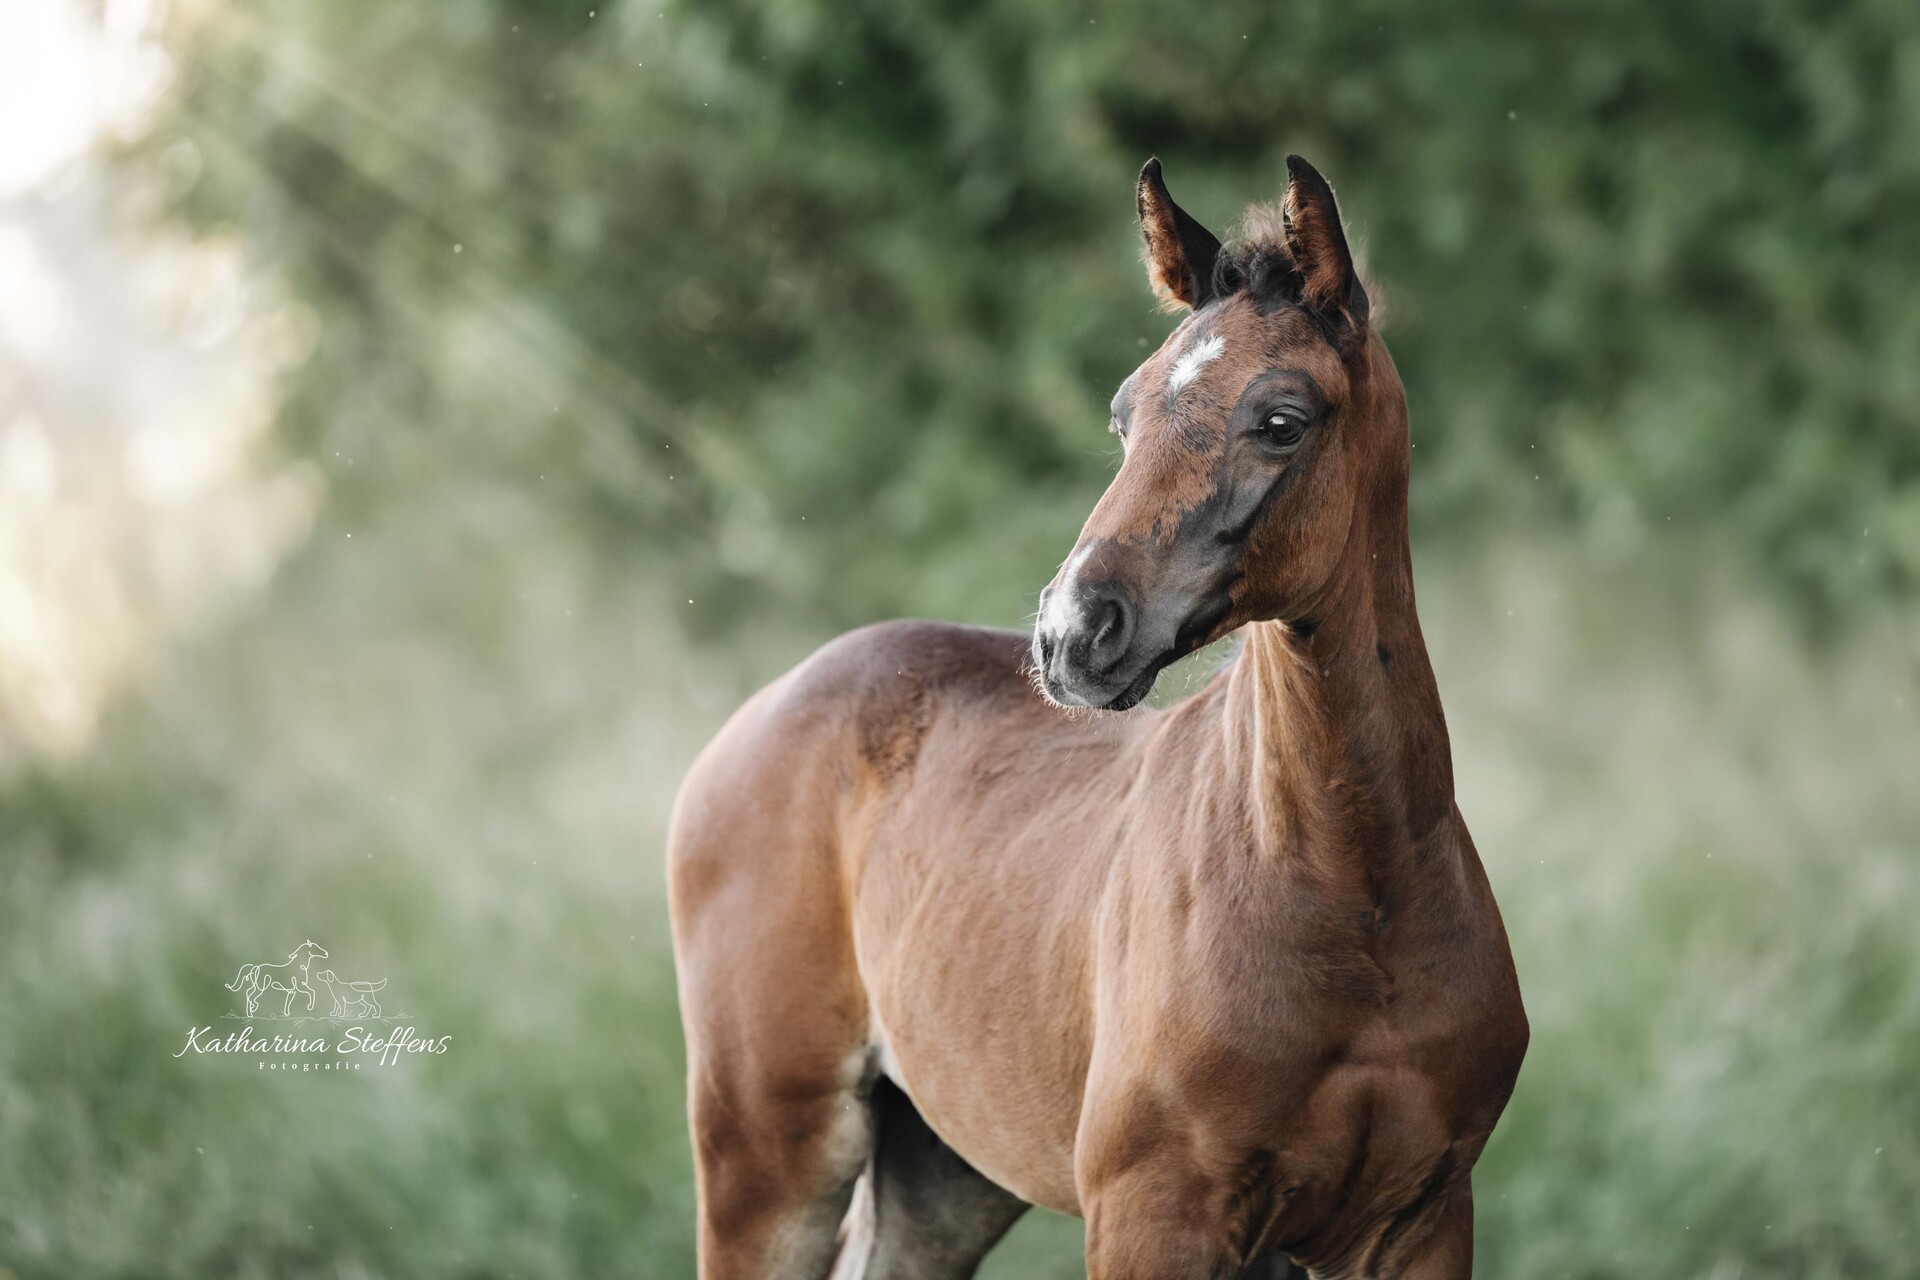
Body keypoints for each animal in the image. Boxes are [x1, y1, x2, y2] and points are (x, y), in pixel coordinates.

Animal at [668, 155, 1528, 1280]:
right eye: (1125, 415)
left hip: (945, 1168)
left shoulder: (1419, 1220)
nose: (1071, 632)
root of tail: (760, 713)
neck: (1357, 888)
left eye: (1282, 420)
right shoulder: (1151, 1215)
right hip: (767, 1150)